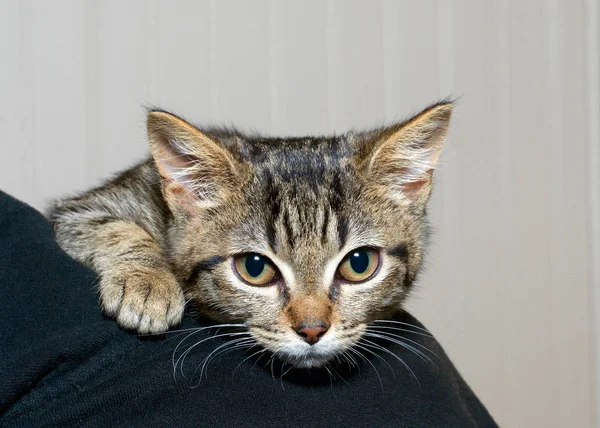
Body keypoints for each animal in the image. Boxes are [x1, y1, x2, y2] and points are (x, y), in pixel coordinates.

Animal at [50, 101, 450, 368]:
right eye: (255, 268)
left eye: (359, 263)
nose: (312, 330)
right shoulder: (80, 211)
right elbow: (113, 228)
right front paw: (146, 281)